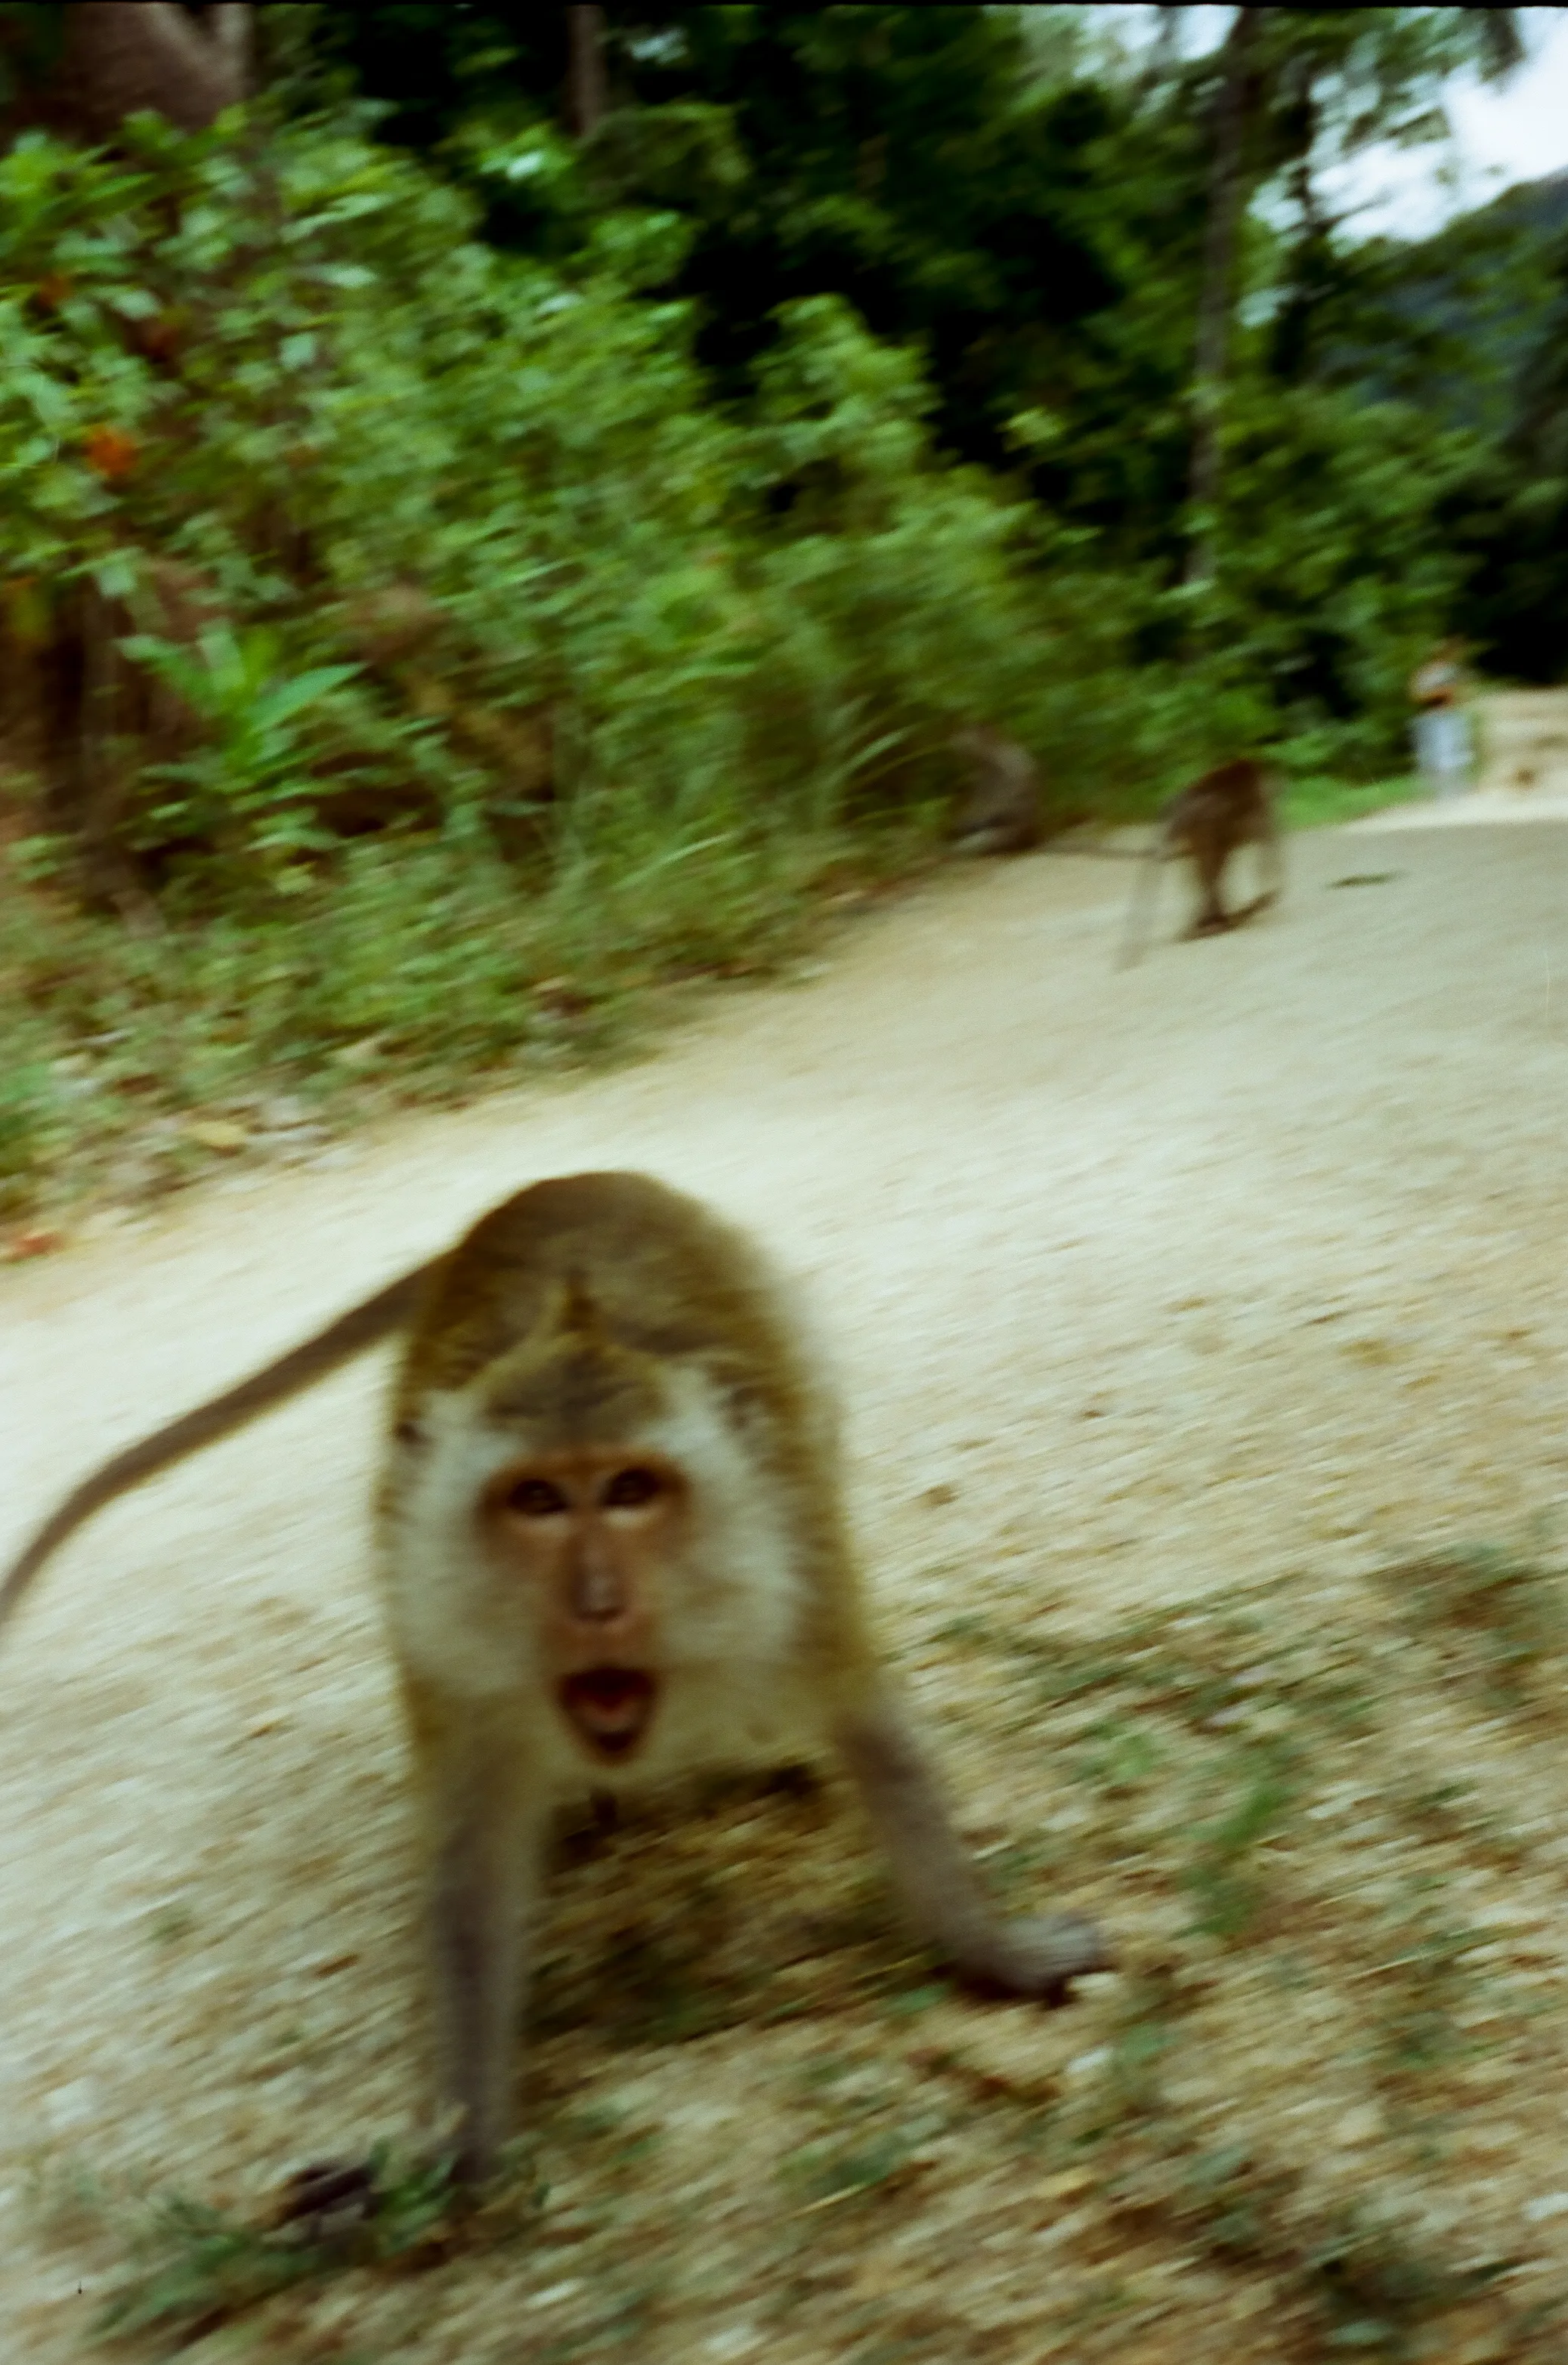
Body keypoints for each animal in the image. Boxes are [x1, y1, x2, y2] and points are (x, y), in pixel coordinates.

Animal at [1, 1172, 1109, 2184]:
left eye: (628, 1490)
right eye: (534, 1500)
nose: (594, 1601)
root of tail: (556, 1183)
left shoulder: (795, 1573)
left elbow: (871, 1730)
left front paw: (987, 1951)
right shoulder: (443, 1643)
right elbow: (471, 1864)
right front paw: (456, 2148)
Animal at [1118, 755, 1282, 968]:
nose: (1277, 787)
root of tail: (1182, 800)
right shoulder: (1252, 809)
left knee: (1210, 864)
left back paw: (1211, 921)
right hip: (1203, 823)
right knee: (1211, 863)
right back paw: (1214, 922)